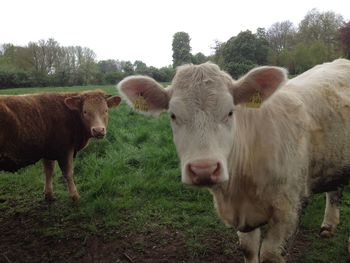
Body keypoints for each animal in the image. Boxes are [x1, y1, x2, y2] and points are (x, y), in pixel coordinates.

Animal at [117, 58, 350, 262]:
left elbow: (270, 254)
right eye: (173, 115)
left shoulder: (290, 208)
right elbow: (248, 249)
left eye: (230, 112)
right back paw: (329, 225)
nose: (204, 169)